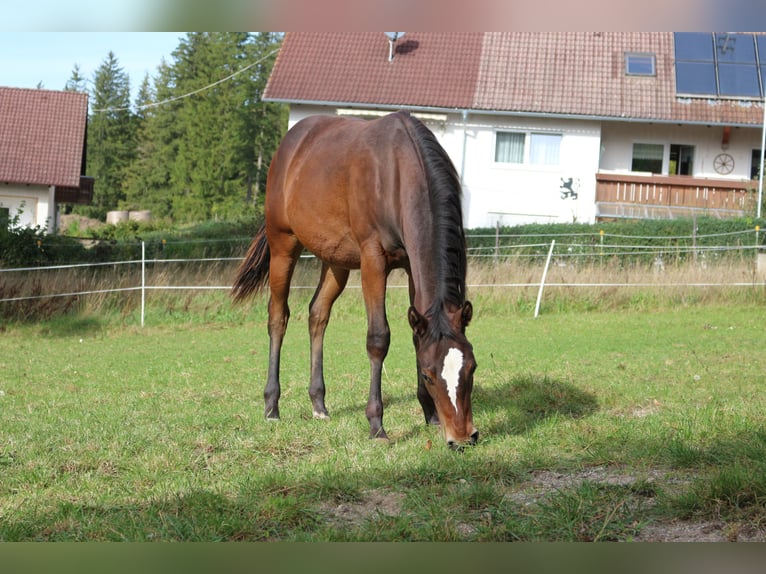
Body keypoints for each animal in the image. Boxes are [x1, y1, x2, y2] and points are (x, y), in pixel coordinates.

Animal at [231, 111, 478, 449]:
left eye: (472, 369)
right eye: (429, 375)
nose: (463, 437)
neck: (396, 170)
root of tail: (290, 143)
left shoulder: (412, 266)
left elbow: (417, 334)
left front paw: (430, 414)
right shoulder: (373, 260)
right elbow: (378, 338)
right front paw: (376, 424)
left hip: (335, 262)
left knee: (318, 314)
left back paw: (318, 404)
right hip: (283, 246)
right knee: (278, 317)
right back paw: (272, 407)